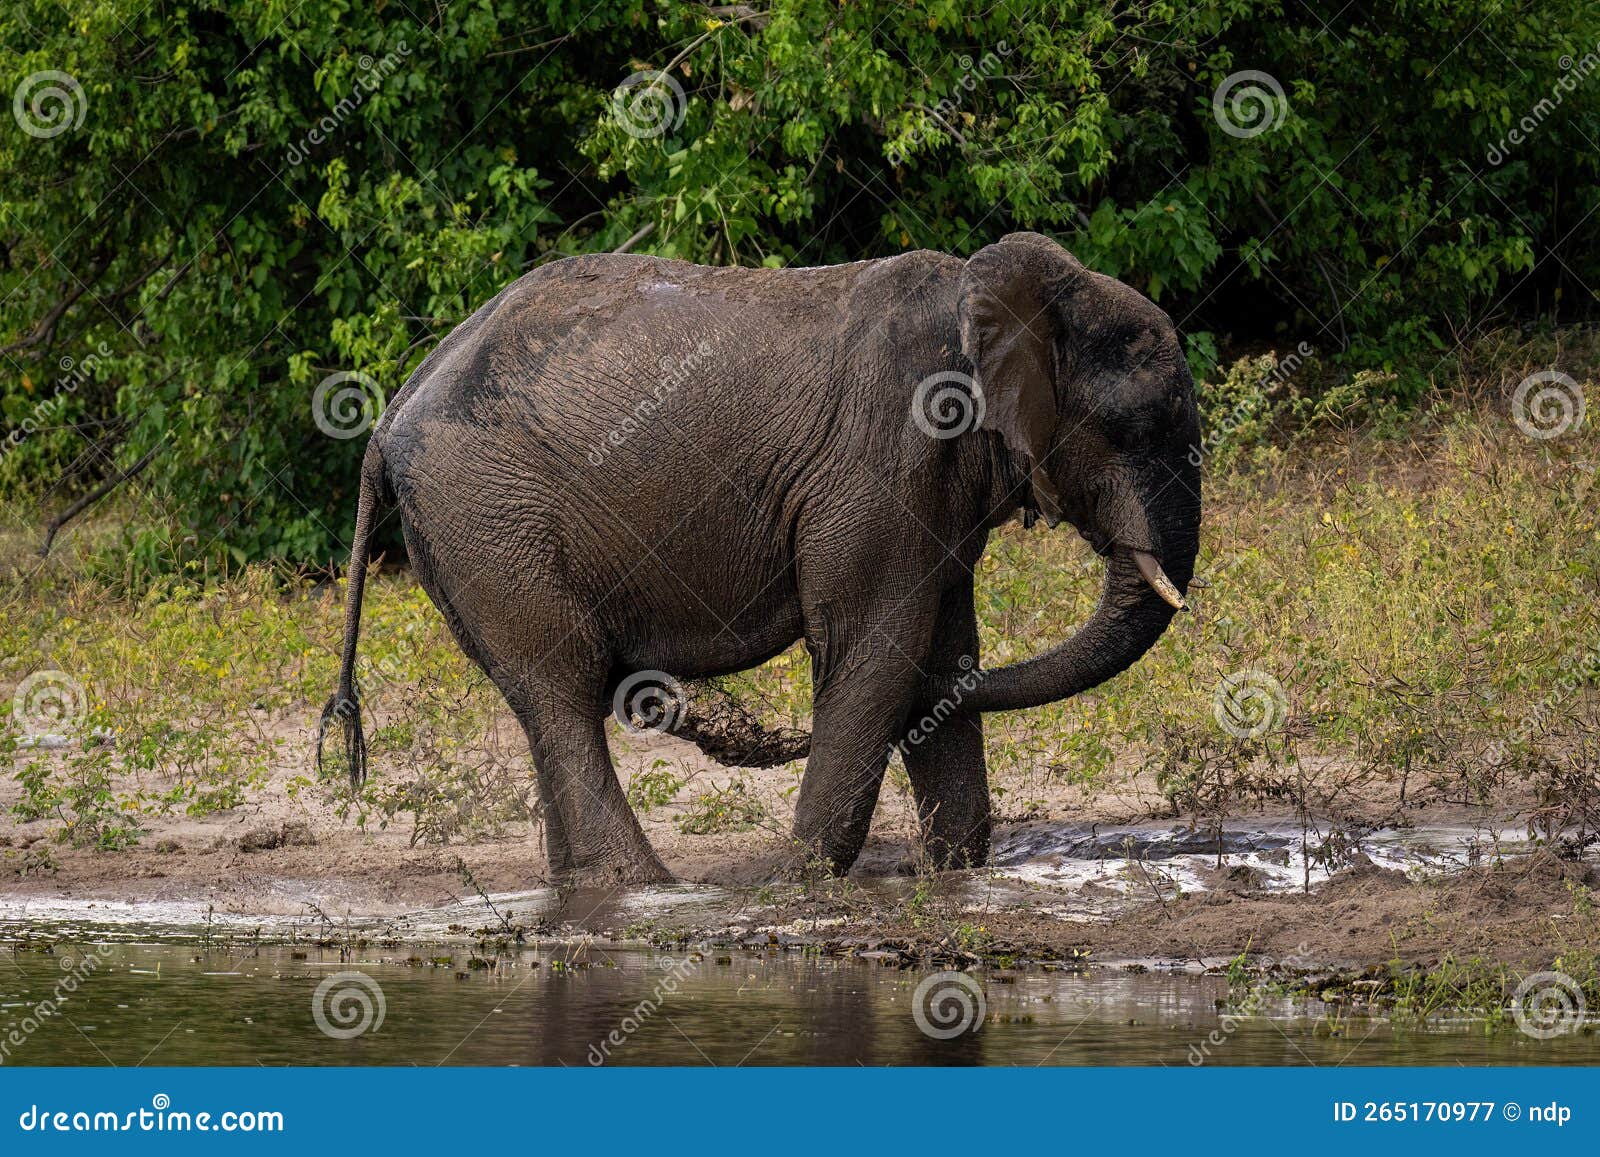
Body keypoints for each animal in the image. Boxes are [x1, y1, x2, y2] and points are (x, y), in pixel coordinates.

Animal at [318, 233, 1196, 889]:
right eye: (1140, 424)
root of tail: (390, 413)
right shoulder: (887, 454)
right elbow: (875, 652)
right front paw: (798, 883)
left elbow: (942, 649)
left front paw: (951, 874)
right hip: (489, 512)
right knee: (561, 685)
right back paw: (647, 889)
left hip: (467, 525)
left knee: (543, 702)